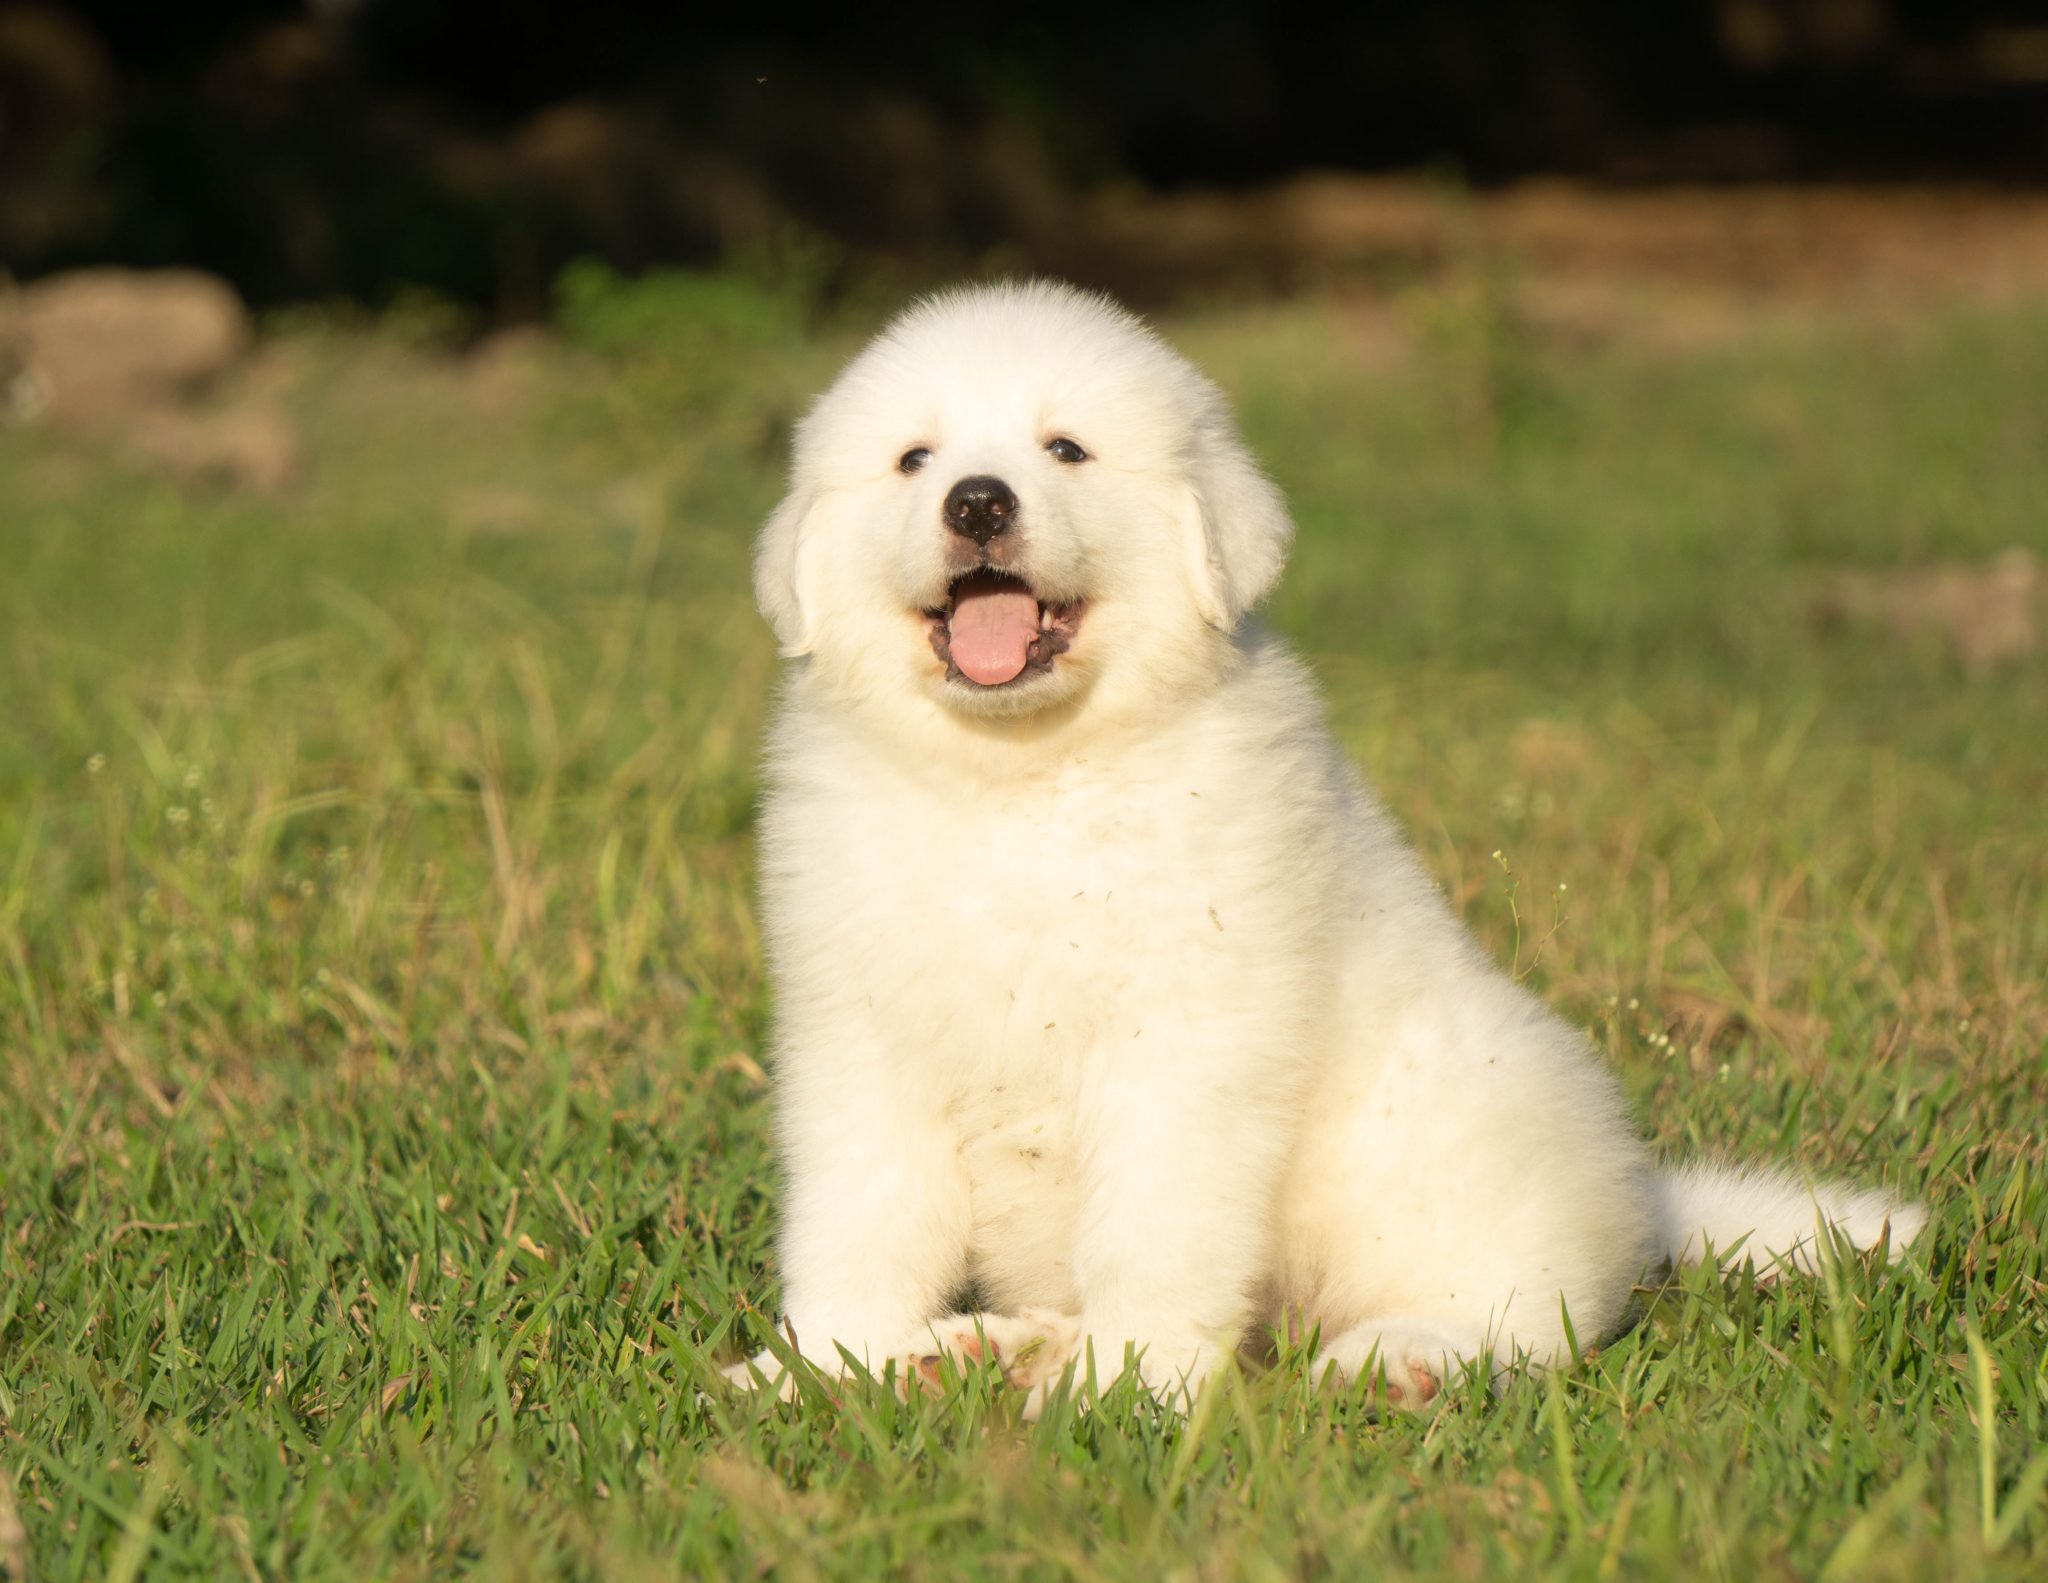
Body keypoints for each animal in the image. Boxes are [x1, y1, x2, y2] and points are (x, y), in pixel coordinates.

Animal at [733, 280, 1916, 1408]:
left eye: (1065, 448)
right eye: (913, 459)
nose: (977, 499)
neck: (1020, 776)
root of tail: (1641, 1197)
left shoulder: (1184, 1040)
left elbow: (1153, 1229)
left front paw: (1127, 1382)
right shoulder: (858, 1035)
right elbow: (858, 1220)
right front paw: (826, 1364)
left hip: (1453, 1122)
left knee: (1522, 1310)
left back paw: (1401, 1360)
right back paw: (988, 1348)